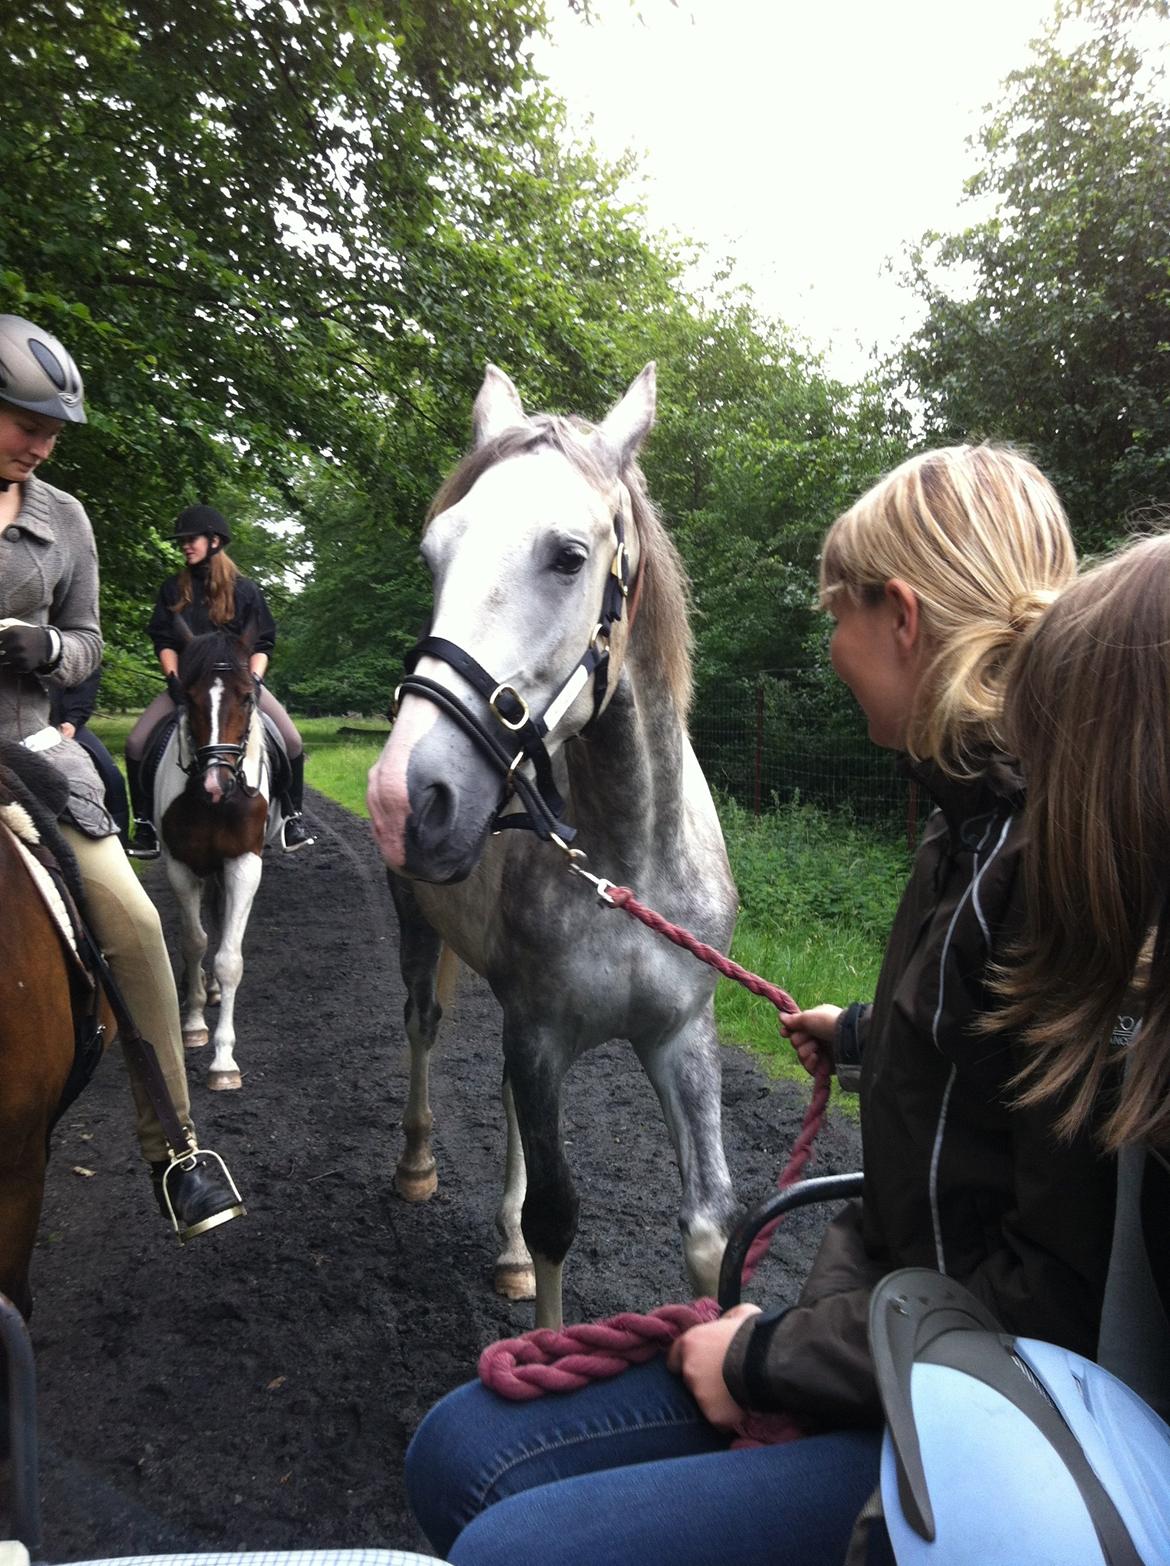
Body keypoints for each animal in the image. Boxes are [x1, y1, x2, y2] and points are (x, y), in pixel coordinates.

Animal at [371, 360, 742, 1327]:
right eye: (433, 556)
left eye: (568, 556)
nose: (403, 797)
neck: (628, 863)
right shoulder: (540, 1035)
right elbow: (554, 1219)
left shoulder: (682, 1035)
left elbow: (708, 1226)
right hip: (416, 930)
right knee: (421, 1026)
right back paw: (416, 1165)